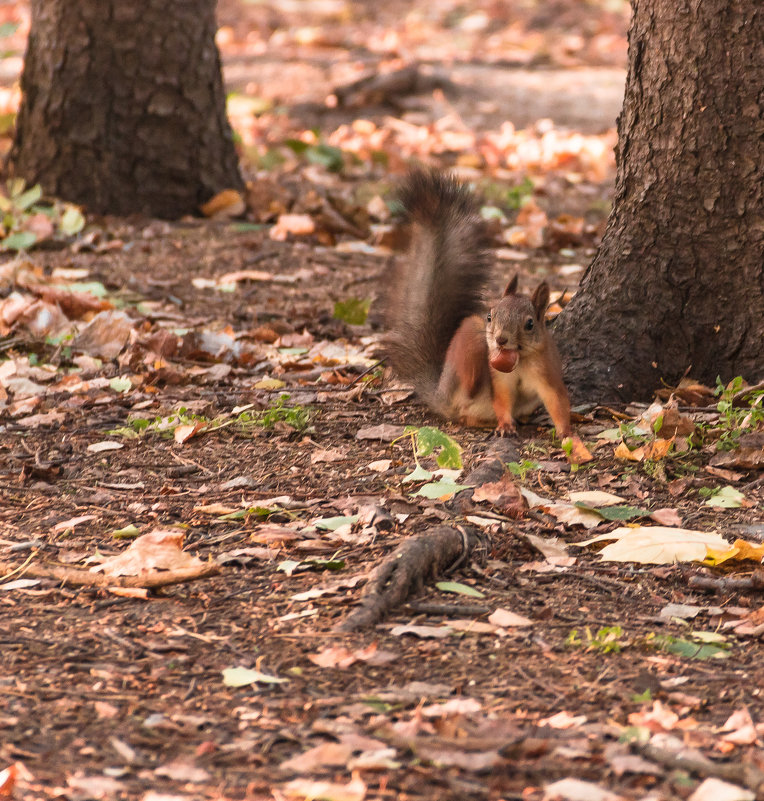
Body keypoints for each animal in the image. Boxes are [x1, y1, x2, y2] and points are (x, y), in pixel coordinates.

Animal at [384, 170, 572, 440]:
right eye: (490, 316)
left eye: (529, 324)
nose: (500, 340)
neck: (520, 360)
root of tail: (439, 393)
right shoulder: (500, 382)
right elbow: (502, 401)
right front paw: (505, 426)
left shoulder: (547, 373)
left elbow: (557, 400)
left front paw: (566, 432)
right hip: (464, 358)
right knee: (466, 404)